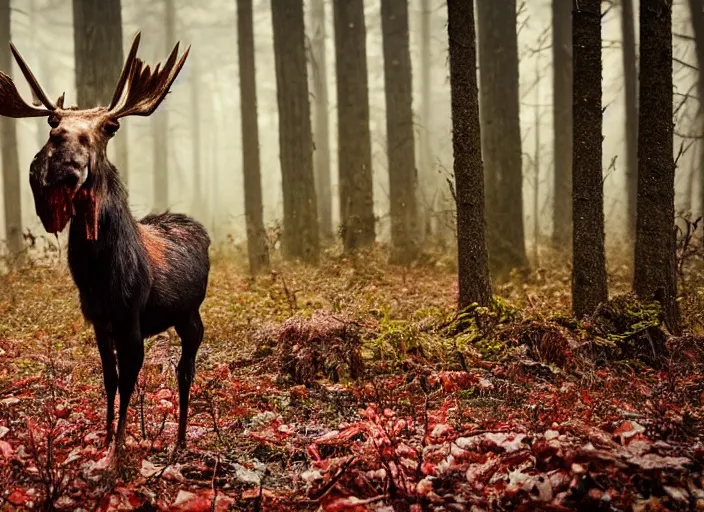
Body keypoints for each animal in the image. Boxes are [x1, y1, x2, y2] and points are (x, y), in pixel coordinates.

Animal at [0, 31, 209, 464]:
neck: (100, 276)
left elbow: (129, 380)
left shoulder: (130, 316)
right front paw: (105, 436)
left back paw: (181, 440)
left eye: (110, 126)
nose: (63, 163)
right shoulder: (98, 319)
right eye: (53, 123)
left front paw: (120, 448)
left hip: (190, 313)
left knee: (185, 370)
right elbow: (109, 379)